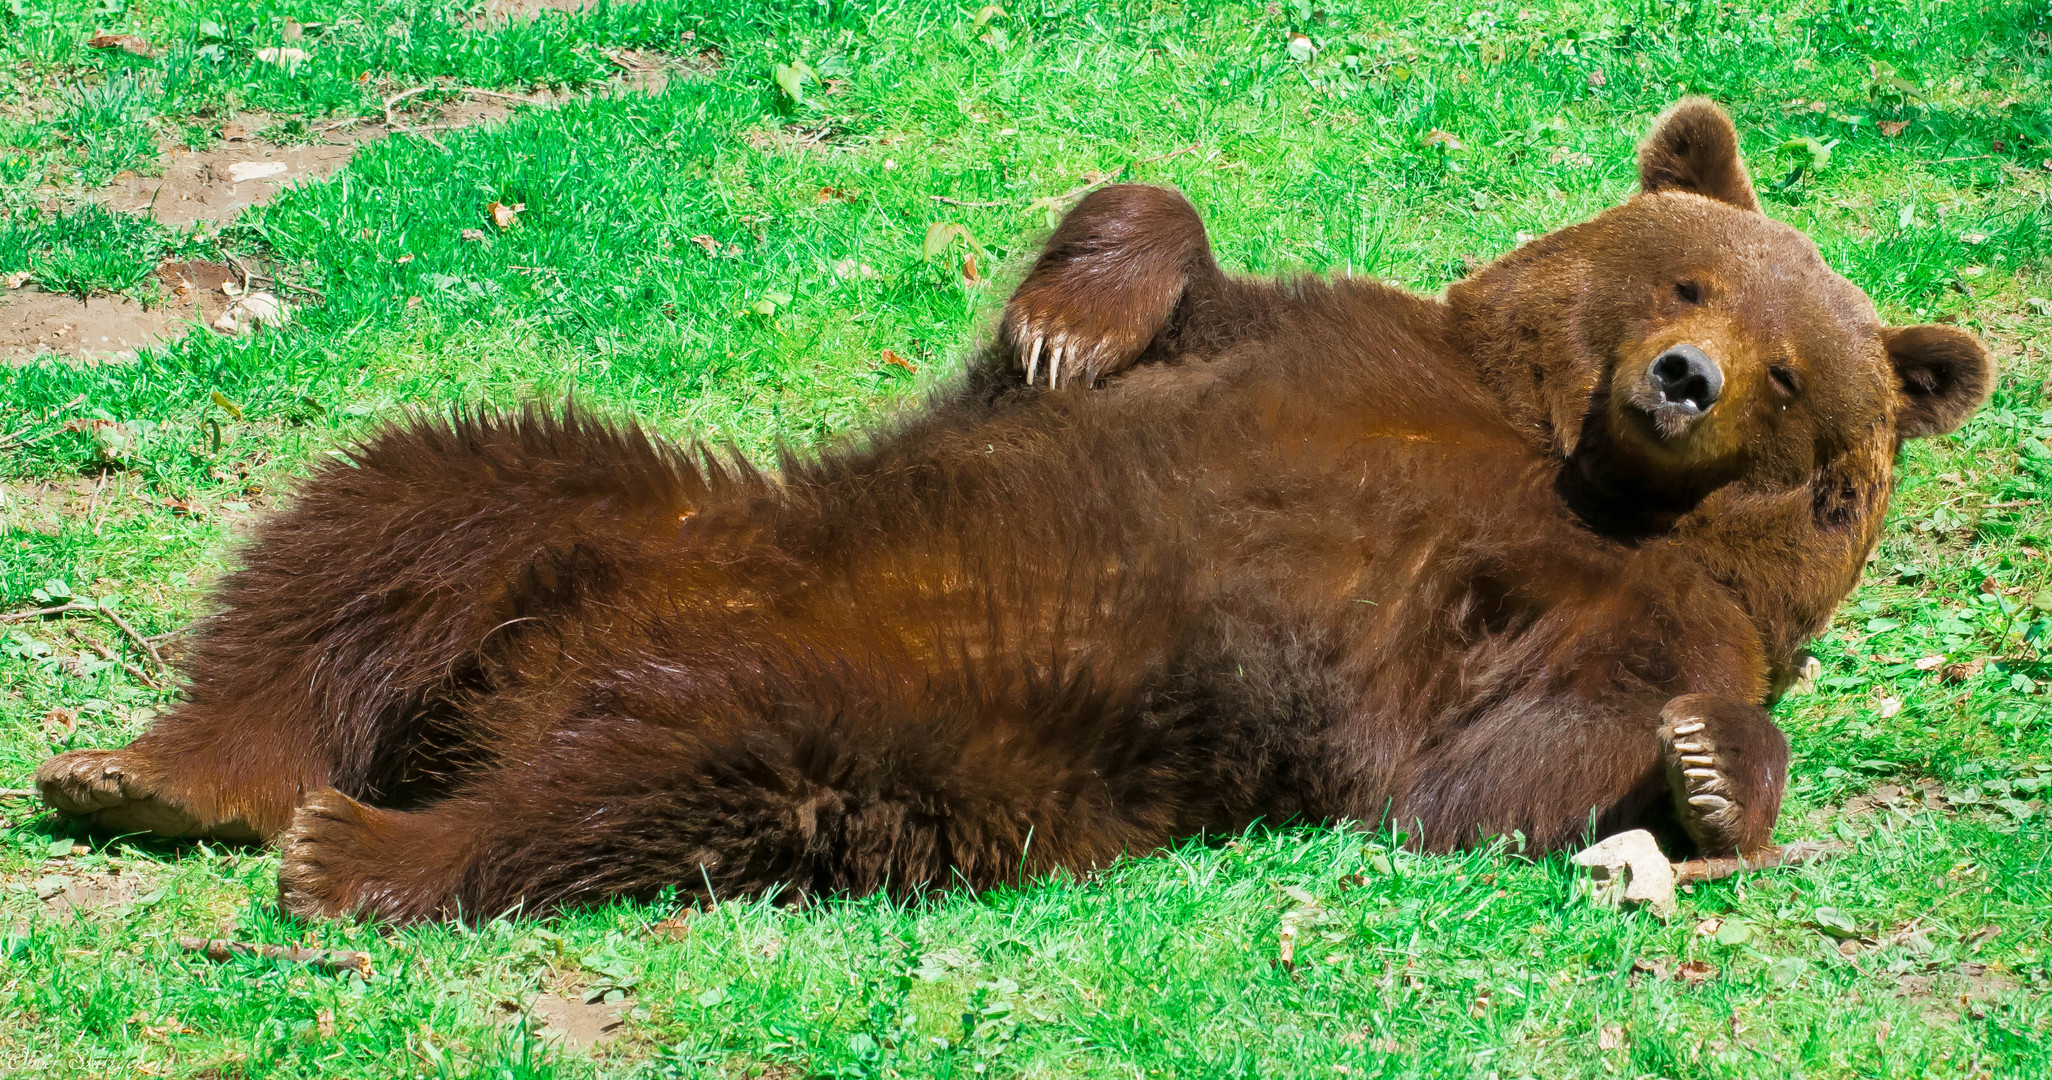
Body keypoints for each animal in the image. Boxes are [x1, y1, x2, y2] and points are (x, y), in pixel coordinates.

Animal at [32, 101, 1986, 928]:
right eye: (1688, 273)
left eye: (1799, 377)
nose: (1683, 382)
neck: (1549, 459)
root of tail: (534, 671)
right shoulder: (1329, 345)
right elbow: (1141, 276)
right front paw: (1075, 309)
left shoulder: (1585, 615)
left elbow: (1490, 774)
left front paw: (1711, 772)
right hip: (649, 517)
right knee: (394, 515)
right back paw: (151, 771)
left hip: (891, 723)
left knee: (638, 785)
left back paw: (363, 850)